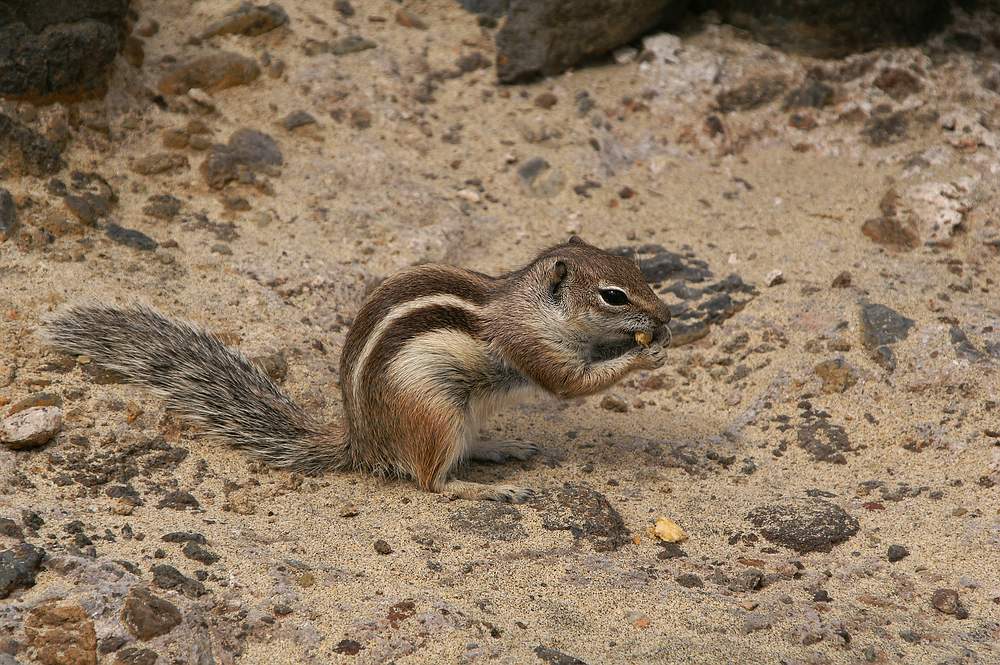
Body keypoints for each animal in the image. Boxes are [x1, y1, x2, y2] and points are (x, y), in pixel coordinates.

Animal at [45, 236, 672, 500]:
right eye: (613, 295)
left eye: (638, 266)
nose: (664, 314)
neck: (527, 304)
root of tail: (362, 443)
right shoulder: (531, 347)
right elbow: (569, 383)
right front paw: (646, 350)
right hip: (438, 413)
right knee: (430, 482)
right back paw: (479, 490)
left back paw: (501, 448)